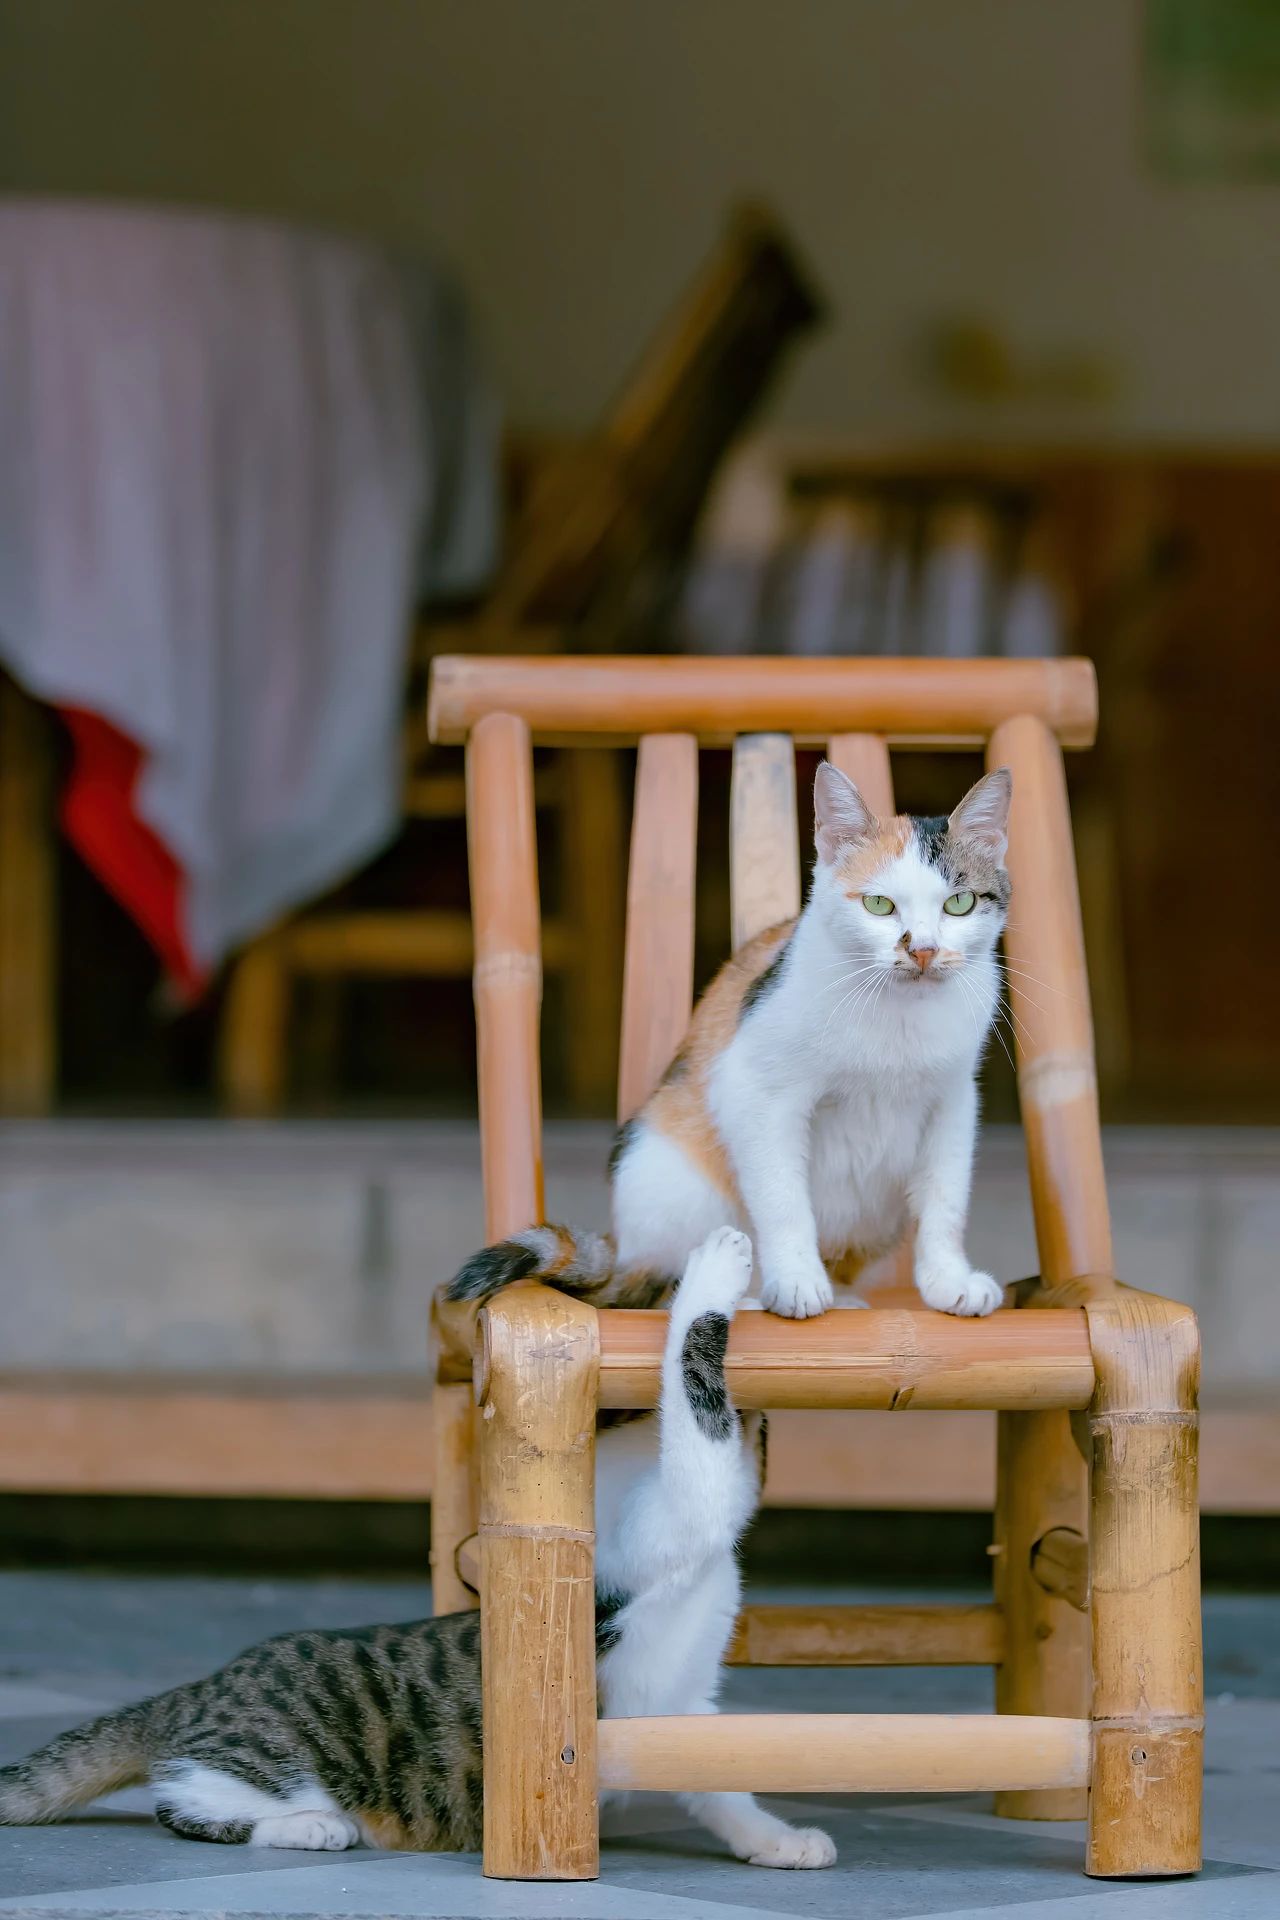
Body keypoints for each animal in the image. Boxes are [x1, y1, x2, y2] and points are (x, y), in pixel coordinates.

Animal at [0, 1228, 836, 1873]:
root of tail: (198, 1690)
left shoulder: (682, 1700)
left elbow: (717, 1776)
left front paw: (775, 1839)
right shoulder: (668, 1527)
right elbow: (695, 1406)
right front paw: (717, 1272)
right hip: (274, 1763)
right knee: (187, 1802)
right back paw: (309, 1826)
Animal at [450, 756, 1013, 1328]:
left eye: (959, 903)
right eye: (879, 905)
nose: (922, 950)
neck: (899, 1017)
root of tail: (625, 1255)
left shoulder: (954, 1100)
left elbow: (945, 1199)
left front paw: (949, 1281)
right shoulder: (756, 1090)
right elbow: (782, 1197)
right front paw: (796, 1282)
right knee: (663, 1286)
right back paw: (736, 1290)